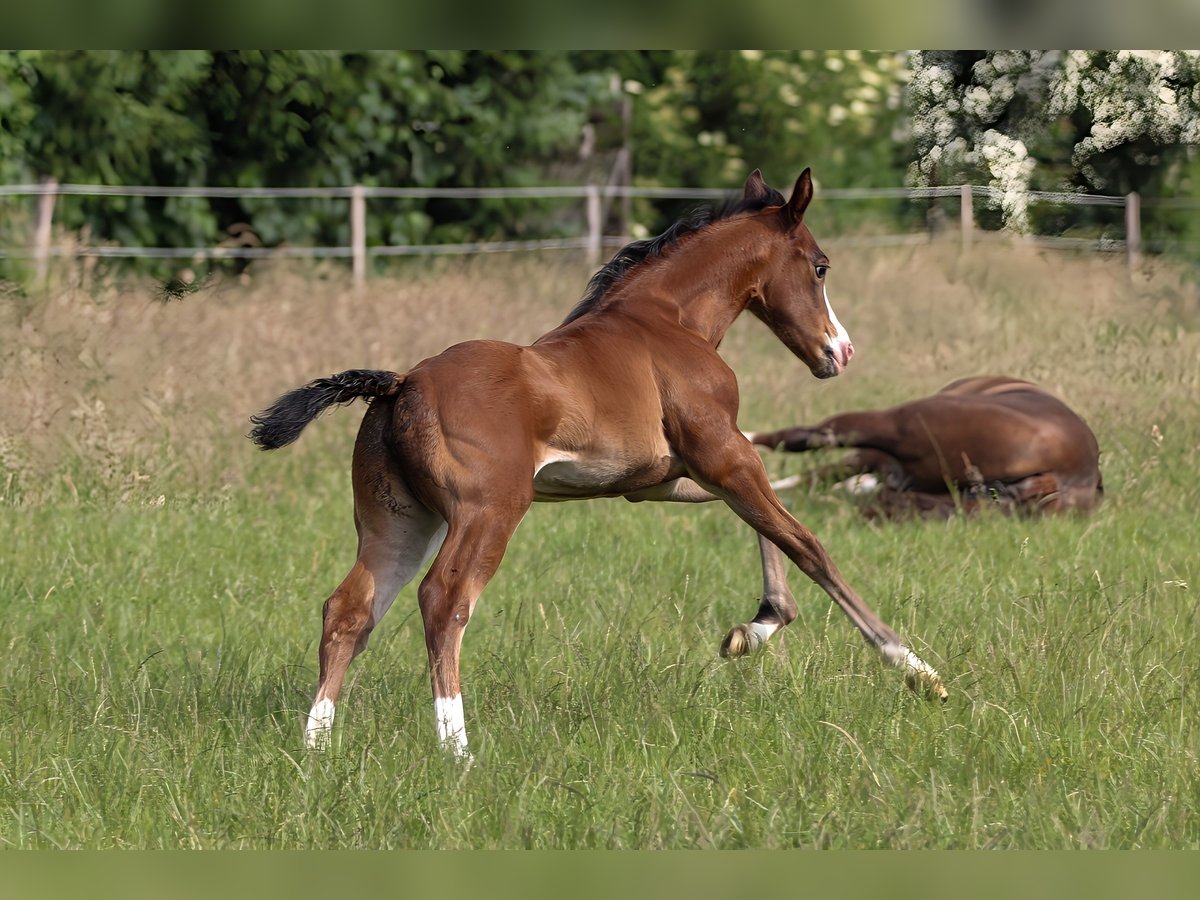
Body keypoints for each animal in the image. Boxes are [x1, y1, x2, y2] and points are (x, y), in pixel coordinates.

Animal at [249, 169, 947, 759]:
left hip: (398, 521)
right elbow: (808, 545)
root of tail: (401, 384)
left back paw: (315, 746)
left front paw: (756, 628)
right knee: (443, 601)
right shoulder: (723, 454)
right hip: (488, 512)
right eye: (821, 266)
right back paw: (458, 751)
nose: (841, 352)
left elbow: (769, 518)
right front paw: (916, 670)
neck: (668, 321)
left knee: (349, 610)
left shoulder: (668, 479)